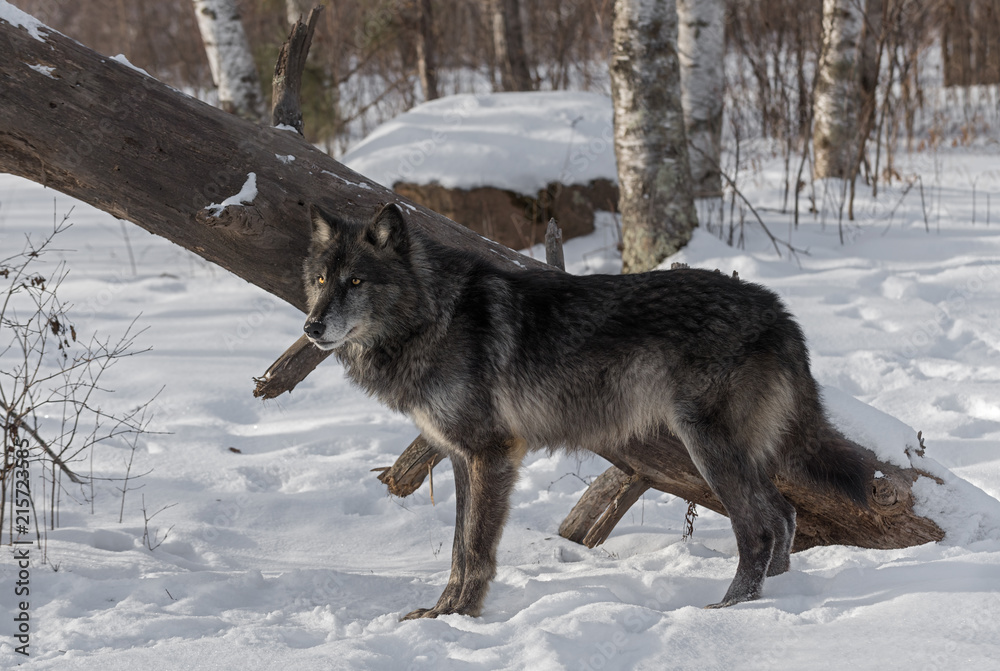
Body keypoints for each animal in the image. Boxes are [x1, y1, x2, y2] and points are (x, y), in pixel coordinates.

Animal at [302, 202, 870, 619]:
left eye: (356, 282)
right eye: (322, 281)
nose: (311, 327)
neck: (434, 315)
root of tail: (779, 310)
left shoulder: (491, 455)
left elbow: (475, 551)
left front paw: (460, 617)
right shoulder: (464, 457)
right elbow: (461, 549)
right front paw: (441, 614)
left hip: (705, 448)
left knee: (758, 529)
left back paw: (727, 610)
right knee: (784, 513)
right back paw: (776, 593)